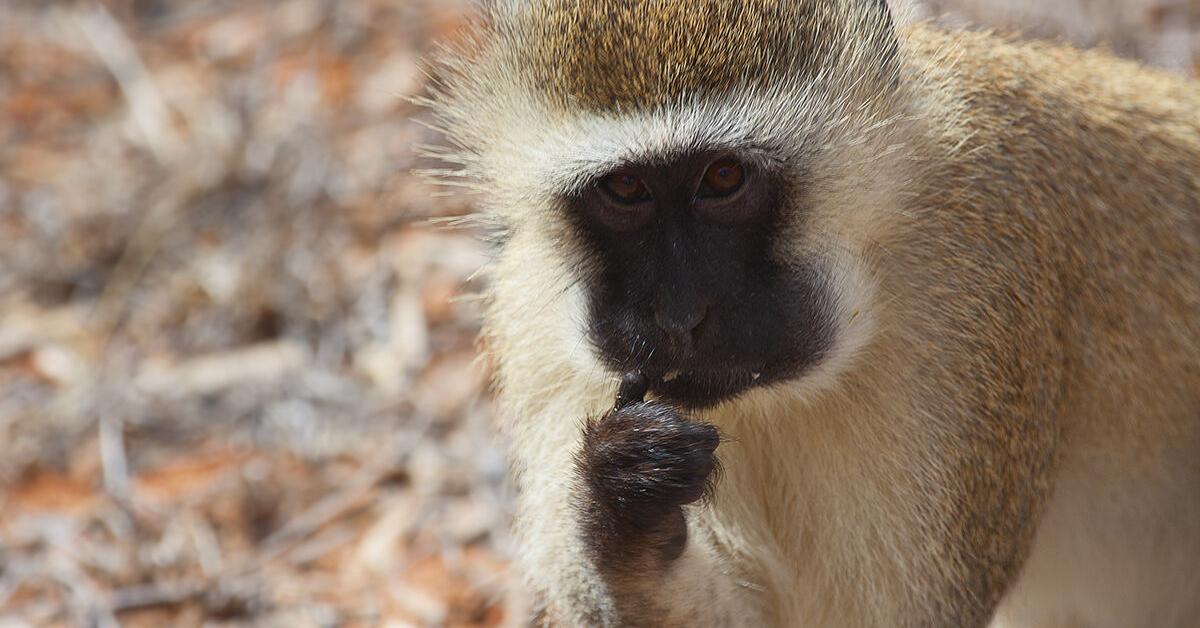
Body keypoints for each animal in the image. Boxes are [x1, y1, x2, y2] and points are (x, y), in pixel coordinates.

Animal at [427, 0, 1195, 624]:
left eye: (724, 178)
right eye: (626, 190)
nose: (679, 315)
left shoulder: (986, 302)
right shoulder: (535, 320)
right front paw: (623, 514)